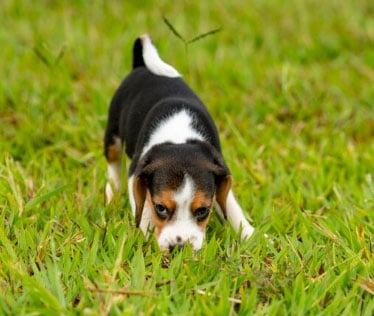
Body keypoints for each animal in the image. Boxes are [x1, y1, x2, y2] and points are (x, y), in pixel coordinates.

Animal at [103, 34, 253, 251]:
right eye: (161, 208)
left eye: (203, 211)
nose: (179, 247)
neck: (180, 138)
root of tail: (140, 66)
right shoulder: (136, 173)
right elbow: (143, 209)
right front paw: (149, 238)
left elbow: (230, 205)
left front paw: (250, 234)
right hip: (112, 136)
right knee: (113, 165)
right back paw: (112, 193)